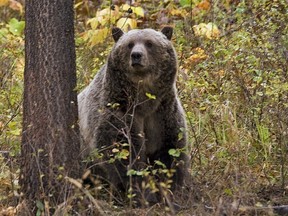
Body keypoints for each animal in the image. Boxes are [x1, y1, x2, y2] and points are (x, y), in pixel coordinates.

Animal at [77, 26, 189, 204]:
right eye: (129, 44)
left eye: (149, 43)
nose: (136, 55)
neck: (144, 101)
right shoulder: (119, 112)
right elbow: (124, 153)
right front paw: (142, 193)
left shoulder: (163, 114)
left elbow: (170, 151)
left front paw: (169, 190)